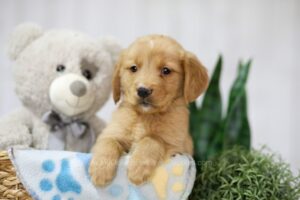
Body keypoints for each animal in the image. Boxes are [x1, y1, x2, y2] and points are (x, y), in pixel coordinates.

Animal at [89, 34, 209, 186]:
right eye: (133, 68)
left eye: (166, 70)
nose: (143, 90)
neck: (144, 116)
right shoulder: (111, 132)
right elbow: (108, 142)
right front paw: (101, 170)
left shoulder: (177, 145)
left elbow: (152, 139)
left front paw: (138, 167)